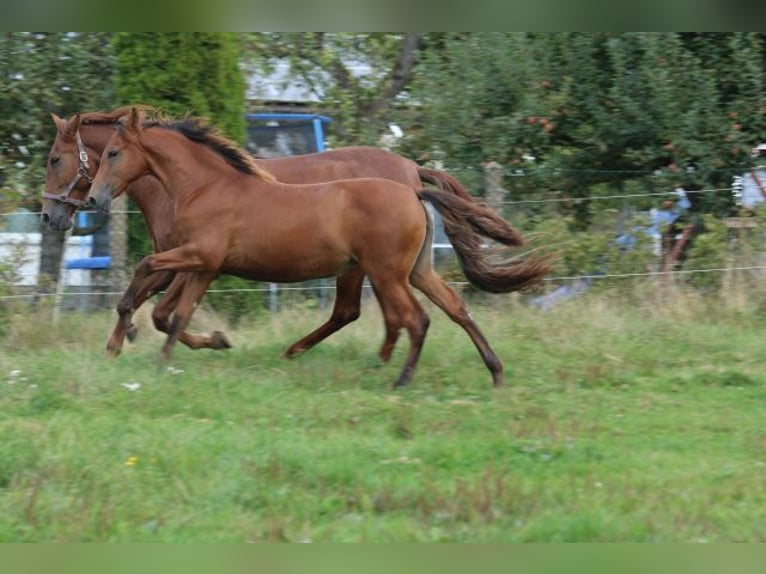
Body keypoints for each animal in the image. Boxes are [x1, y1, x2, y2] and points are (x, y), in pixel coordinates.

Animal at [87, 108, 548, 388]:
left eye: (113, 152)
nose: (93, 198)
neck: (208, 185)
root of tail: (415, 191)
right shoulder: (206, 266)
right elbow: (177, 313)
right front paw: (173, 355)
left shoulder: (199, 255)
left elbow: (148, 271)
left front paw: (134, 336)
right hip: (417, 271)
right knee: (456, 308)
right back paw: (495, 372)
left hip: (386, 273)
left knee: (413, 319)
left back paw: (400, 379)